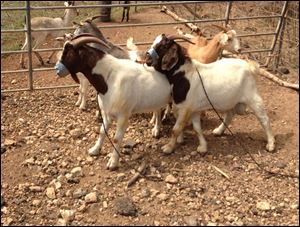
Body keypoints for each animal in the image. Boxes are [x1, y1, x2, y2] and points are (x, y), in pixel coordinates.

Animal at [54, 34, 183, 169]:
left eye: (68, 53)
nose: (56, 69)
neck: (110, 77)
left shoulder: (123, 116)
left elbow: (116, 138)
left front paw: (113, 162)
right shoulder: (106, 112)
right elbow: (102, 131)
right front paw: (94, 150)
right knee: (158, 111)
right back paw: (157, 130)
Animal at [144, 33, 276, 154]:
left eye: (163, 46)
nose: (147, 59)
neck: (184, 75)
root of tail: (250, 66)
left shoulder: (185, 108)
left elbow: (176, 128)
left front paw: (168, 147)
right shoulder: (193, 109)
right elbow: (197, 128)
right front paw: (202, 147)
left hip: (253, 97)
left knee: (264, 119)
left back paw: (271, 144)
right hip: (232, 100)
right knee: (230, 114)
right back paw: (219, 131)